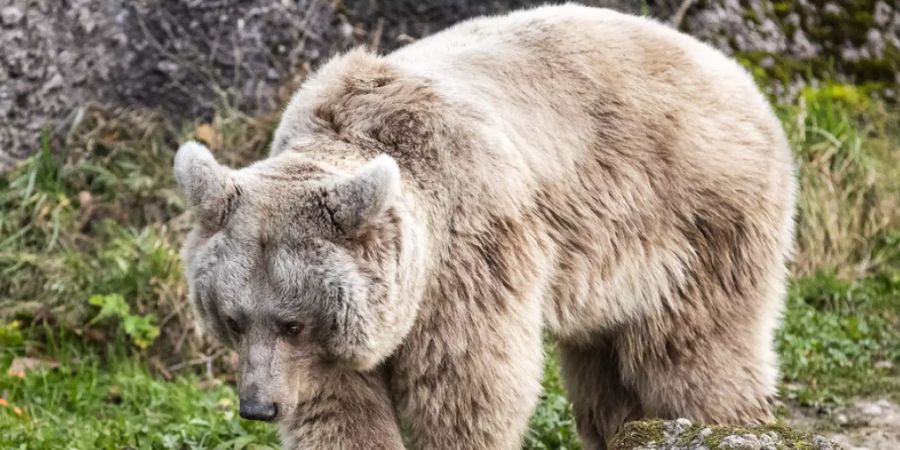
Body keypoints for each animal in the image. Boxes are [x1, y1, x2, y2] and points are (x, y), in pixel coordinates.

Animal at [174, 4, 796, 450]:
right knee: (606, 383)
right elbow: (341, 411)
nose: (258, 406)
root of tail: (735, 73)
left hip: (696, 225)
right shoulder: (342, 335)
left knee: (696, 358)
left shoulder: (467, 259)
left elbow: (466, 395)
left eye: (291, 323)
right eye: (232, 318)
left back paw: (725, 422)